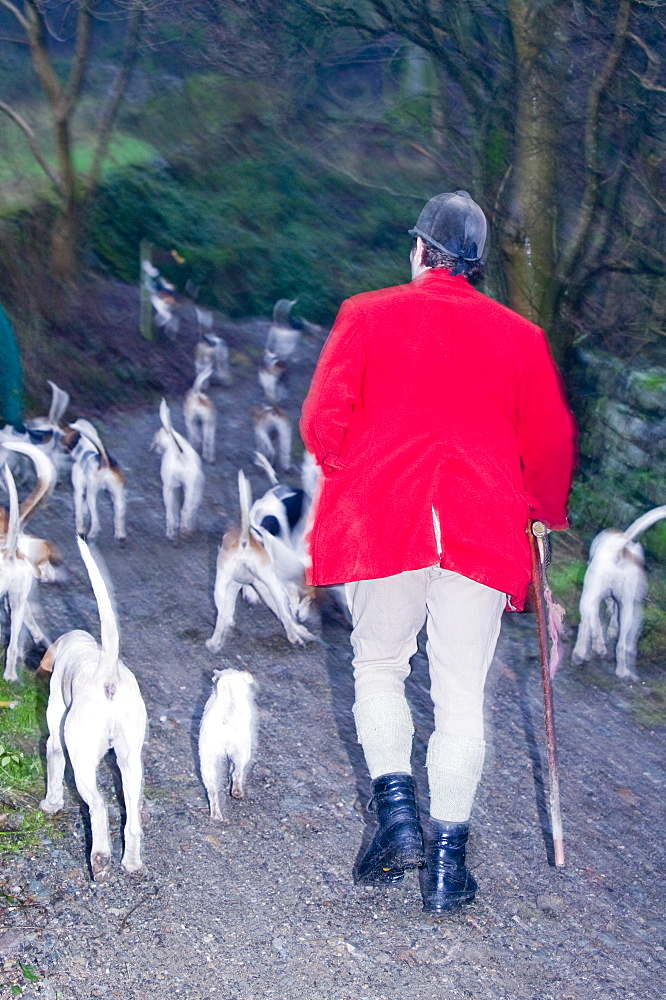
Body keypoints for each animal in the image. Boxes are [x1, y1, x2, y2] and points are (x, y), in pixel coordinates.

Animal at [39, 536, 146, 880]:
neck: (85, 648)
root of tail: (106, 675)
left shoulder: (55, 739)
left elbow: (53, 770)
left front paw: (51, 805)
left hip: (82, 758)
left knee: (98, 806)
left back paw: (100, 860)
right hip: (130, 761)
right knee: (132, 822)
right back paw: (131, 863)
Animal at [152, 398, 204, 540]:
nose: (156, 451)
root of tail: (180, 454)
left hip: (169, 490)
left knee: (172, 514)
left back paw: (171, 533)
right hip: (190, 490)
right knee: (186, 511)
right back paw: (185, 531)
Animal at [197, 672, 254, 820]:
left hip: (207, 761)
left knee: (212, 791)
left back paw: (216, 816)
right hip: (242, 751)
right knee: (237, 772)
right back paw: (237, 792)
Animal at [568, 508, 664, 680]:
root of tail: (621, 549)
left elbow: (596, 622)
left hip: (589, 596)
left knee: (585, 624)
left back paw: (581, 654)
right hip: (625, 607)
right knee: (620, 643)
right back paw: (621, 669)